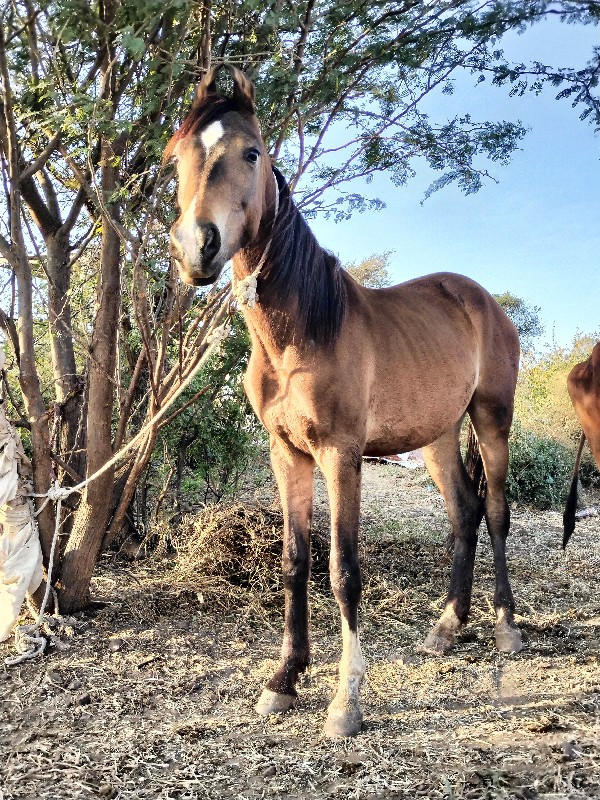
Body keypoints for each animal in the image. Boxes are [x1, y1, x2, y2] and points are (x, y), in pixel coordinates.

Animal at [164, 64, 520, 736]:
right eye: (178, 157)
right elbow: (294, 563)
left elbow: (343, 571)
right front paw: (284, 679)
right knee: (463, 513)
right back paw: (447, 627)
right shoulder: (288, 456)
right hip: (437, 437)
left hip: (491, 421)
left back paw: (507, 627)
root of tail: (481, 300)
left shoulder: (340, 455)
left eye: (252, 152)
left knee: (494, 512)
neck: (302, 331)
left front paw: (345, 700)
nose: (198, 247)